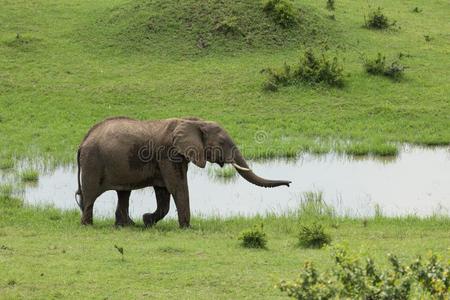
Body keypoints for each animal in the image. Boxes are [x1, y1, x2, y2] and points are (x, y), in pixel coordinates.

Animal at [75, 117, 290, 227]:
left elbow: (163, 192)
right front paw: (186, 228)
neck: (194, 121)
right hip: (93, 161)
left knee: (123, 193)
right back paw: (88, 225)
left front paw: (147, 220)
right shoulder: (168, 154)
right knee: (90, 194)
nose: (289, 183)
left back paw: (128, 225)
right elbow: (177, 186)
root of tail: (83, 141)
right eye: (222, 142)